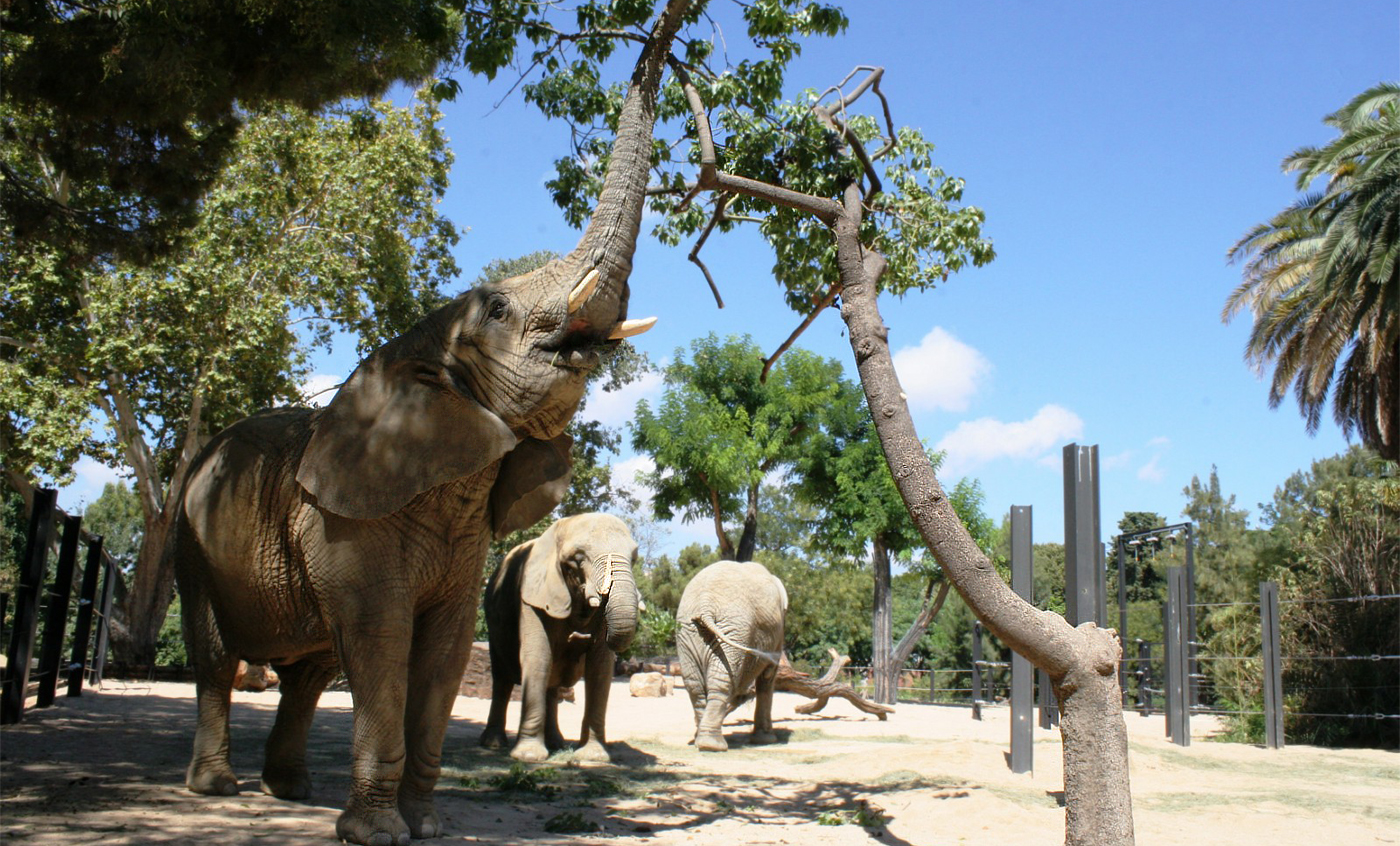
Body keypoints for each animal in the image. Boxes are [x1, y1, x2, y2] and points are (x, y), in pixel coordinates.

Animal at [478, 512, 638, 761]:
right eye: (577, 559)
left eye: (635, 557)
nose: (579, 636)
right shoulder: (531, 598)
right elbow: (538, 658)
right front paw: (528, 757)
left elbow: (599, 669)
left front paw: (592, 757)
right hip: (494, 626)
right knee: (502, 681)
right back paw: (493, 744)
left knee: (552, 686)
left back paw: (556, 744)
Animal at [674, 557, 789, 750]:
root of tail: (705, 605)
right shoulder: (778, 636)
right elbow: (767, 677)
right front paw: (767, 740)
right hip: (733, 629)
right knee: (722, 679)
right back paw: (713, 745)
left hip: (689, 632)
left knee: (694, 685)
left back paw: (701, 741)